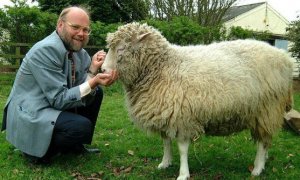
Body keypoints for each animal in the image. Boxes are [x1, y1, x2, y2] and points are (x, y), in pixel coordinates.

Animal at [102, 21, 294, 179]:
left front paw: (183, 173)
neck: (162, 67)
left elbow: (182, 149)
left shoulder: (181, 116)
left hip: (267, 109)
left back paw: (257, 168)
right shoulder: (164, 112)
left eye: (121, 49)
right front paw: (165, 163)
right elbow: (165, 142)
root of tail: (285, 58)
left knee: (262, 142)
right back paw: (264, 161)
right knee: (266, 140)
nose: (102, 70)